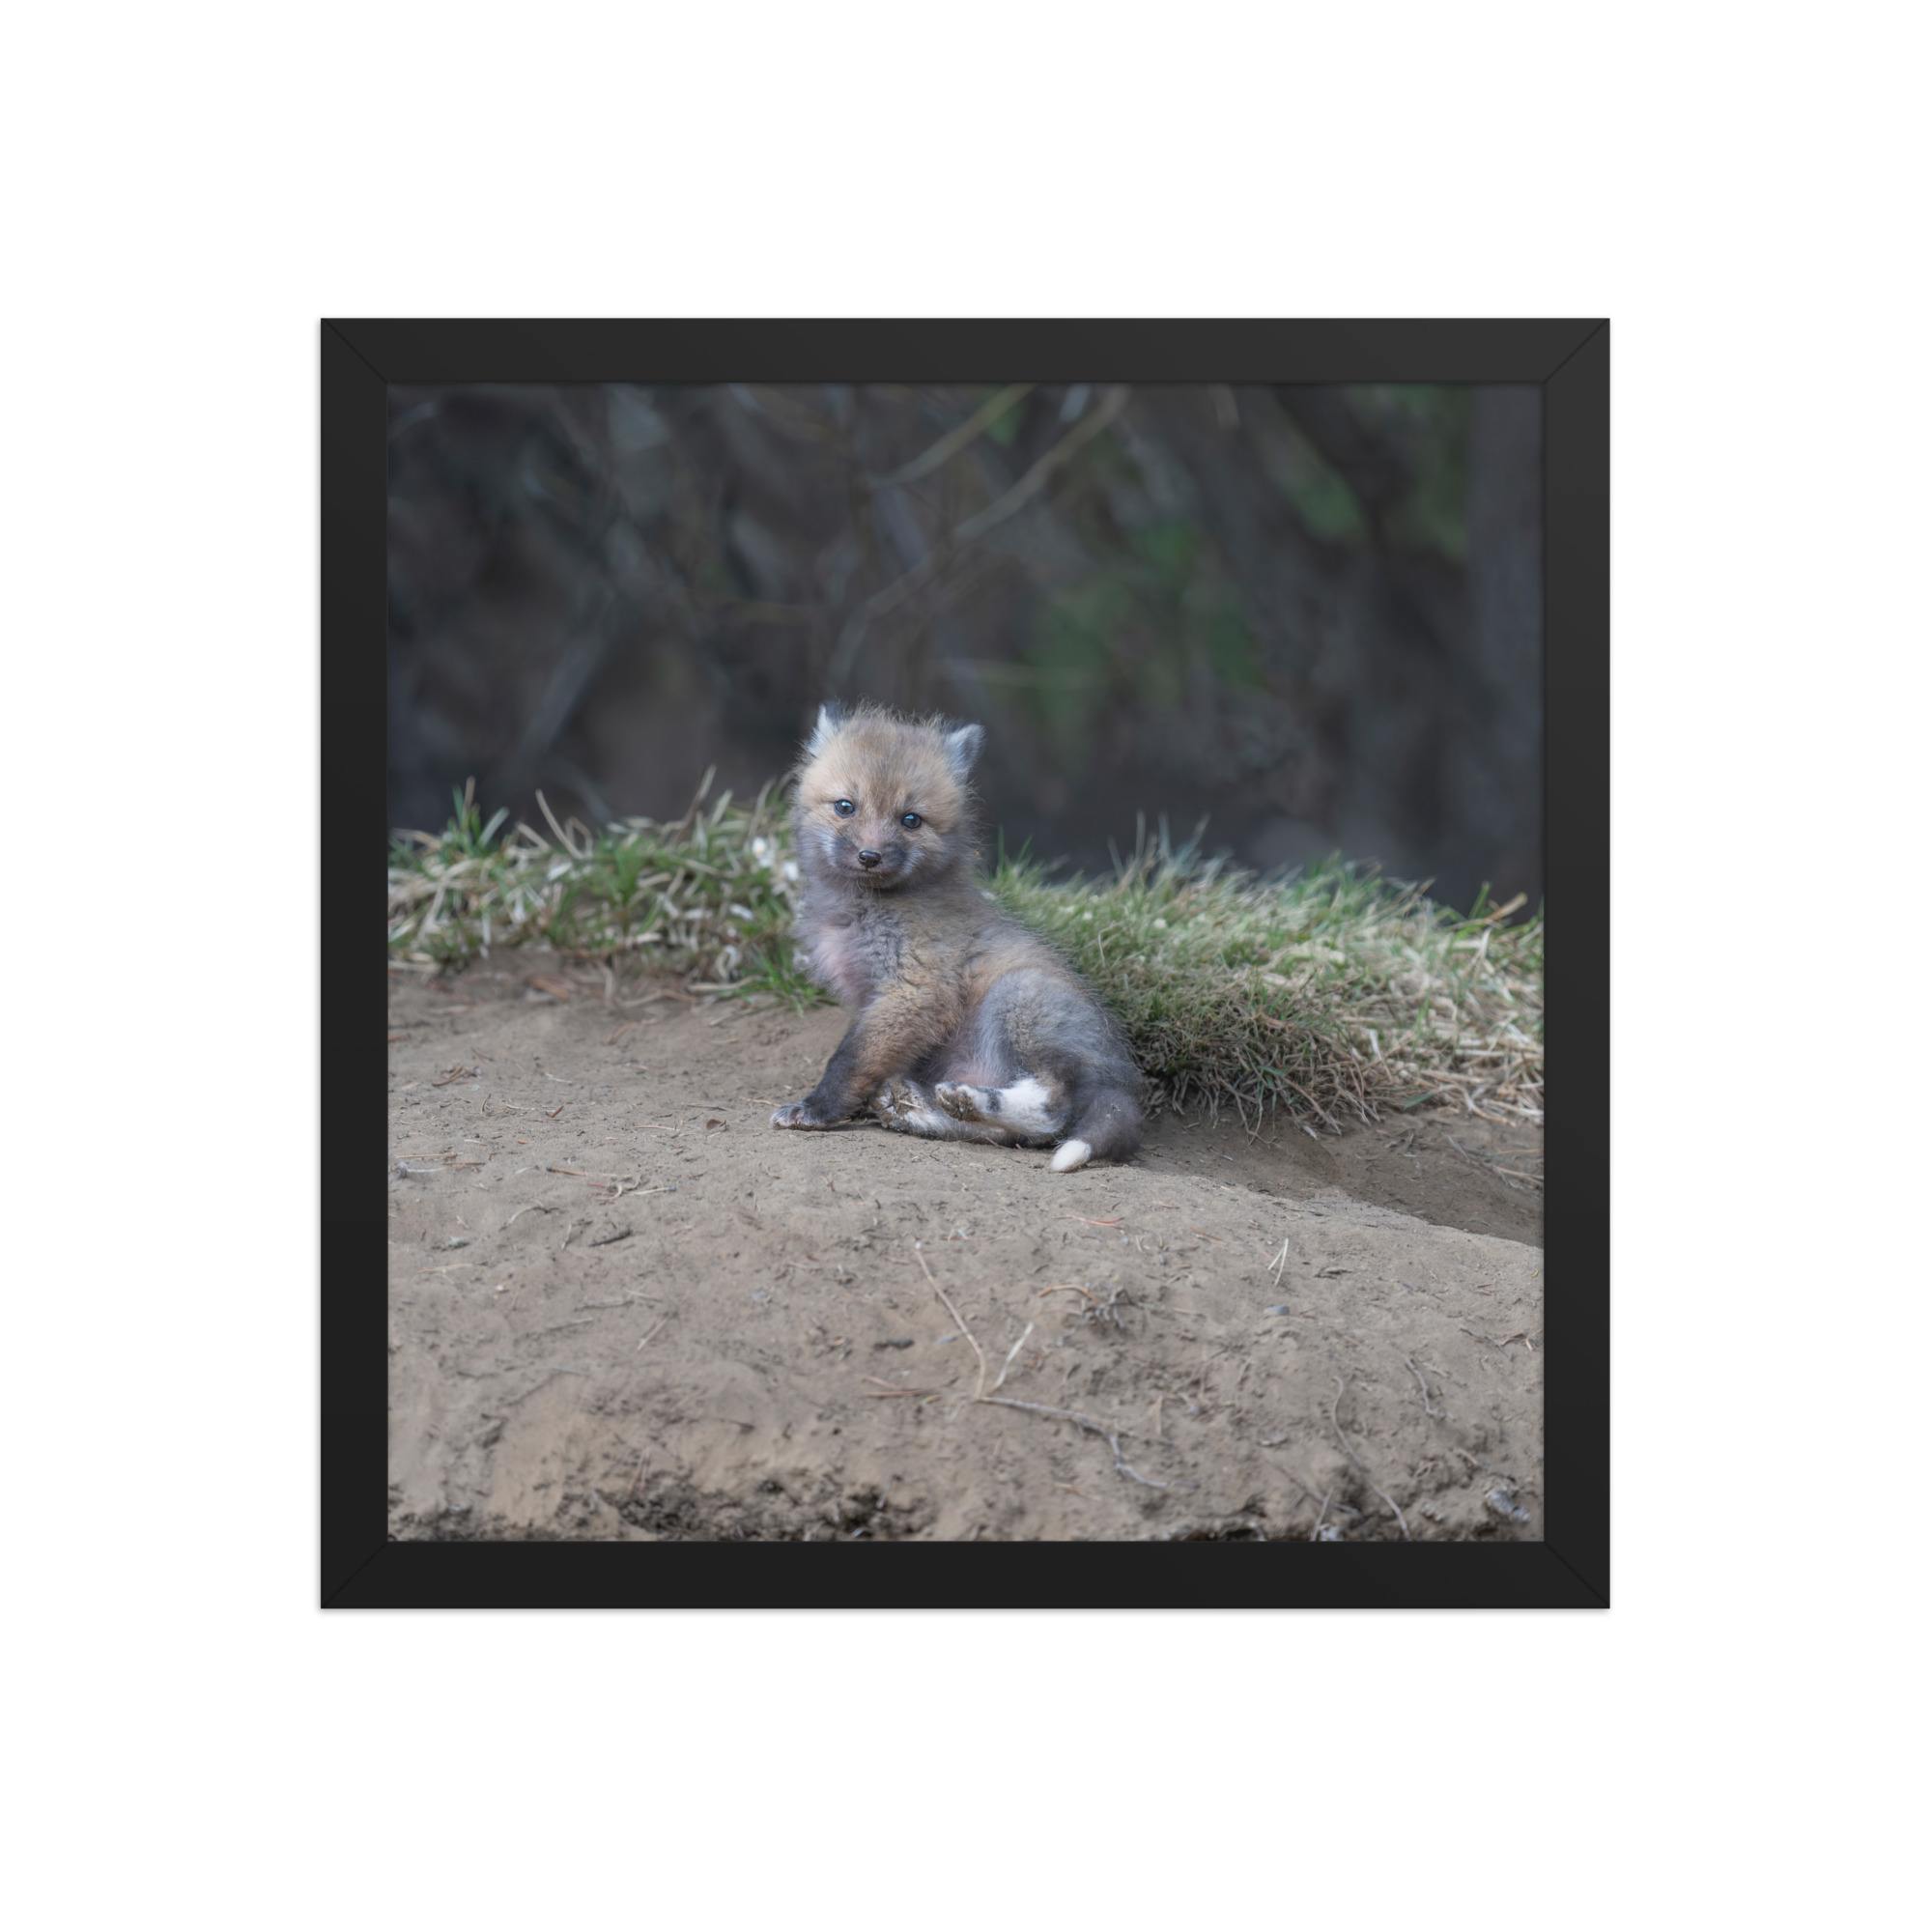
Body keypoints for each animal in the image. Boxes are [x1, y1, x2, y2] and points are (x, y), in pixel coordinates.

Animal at [768, 702, 1143, 1172]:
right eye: (845, 807)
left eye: (911, 820)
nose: (870, 856)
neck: (863, 909)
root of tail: (1122, 1079)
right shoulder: (874, 999)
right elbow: (865, 1059)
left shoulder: (916, 989)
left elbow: (850, 1059)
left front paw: (817, 1109)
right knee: (1012, 1135)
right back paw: (922, 1110)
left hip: (1017, 999)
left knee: (1052, 1110)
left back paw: (968, 1100)